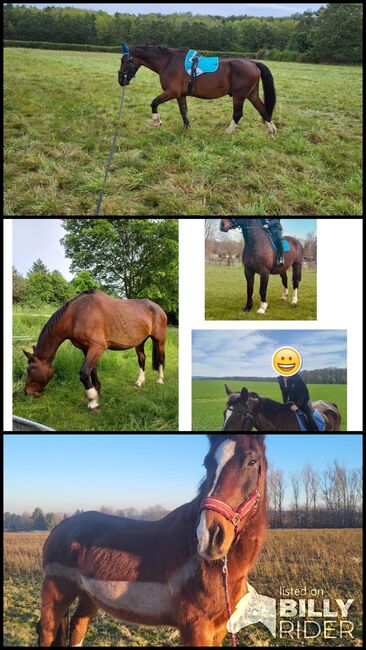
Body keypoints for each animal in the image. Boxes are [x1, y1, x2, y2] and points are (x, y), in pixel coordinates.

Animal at [24, 290, 169, 408]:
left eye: (30, 370)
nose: (27, 393)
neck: (75, 315)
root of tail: (159, 308)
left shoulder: (97, 347)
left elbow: (84, 373)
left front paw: (92, 402)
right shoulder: (86, 348)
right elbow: (92, 370)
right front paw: (96, 392)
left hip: (159, 340)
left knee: (161, 358)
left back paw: (160, 380)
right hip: (140, 342)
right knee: (142, 359)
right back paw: (139, 382)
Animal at [37, 432, 268, 644]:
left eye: (252, 461)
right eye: (206, 463)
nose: (209, 536)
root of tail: (59, 528)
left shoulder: (219, 630)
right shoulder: (195, 629)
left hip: (88, 597)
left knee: (78, 628)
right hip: (55, 592)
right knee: (46, 631)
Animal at [118, 43, 276, 137]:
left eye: (124, 60)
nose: (121, 80)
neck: (168, 62)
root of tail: (253, 63)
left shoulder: (172, 92)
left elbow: (154, 103)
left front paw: (157, 122)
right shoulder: (180, 95)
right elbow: (184, 112)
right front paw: (186, 130)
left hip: (239, 95)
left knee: (238, 114)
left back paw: (227, 132)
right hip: (251, 94)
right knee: (263, 110)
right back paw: (272, 132)